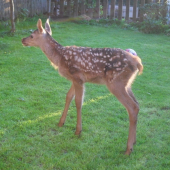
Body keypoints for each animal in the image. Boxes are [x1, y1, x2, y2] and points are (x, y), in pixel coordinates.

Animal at [21, 18, 143, 155]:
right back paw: (134, 142)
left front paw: (78, 130)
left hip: (115, 83)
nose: (22, 40)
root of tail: (138, 62)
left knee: (132, 107)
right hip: (127, 84)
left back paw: (128, 149)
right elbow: (68, 97)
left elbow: (78, 102)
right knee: (137, 104)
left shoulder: (77, 77)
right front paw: (61, 123)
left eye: (32, 35)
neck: (59, 58)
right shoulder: (75, 79)